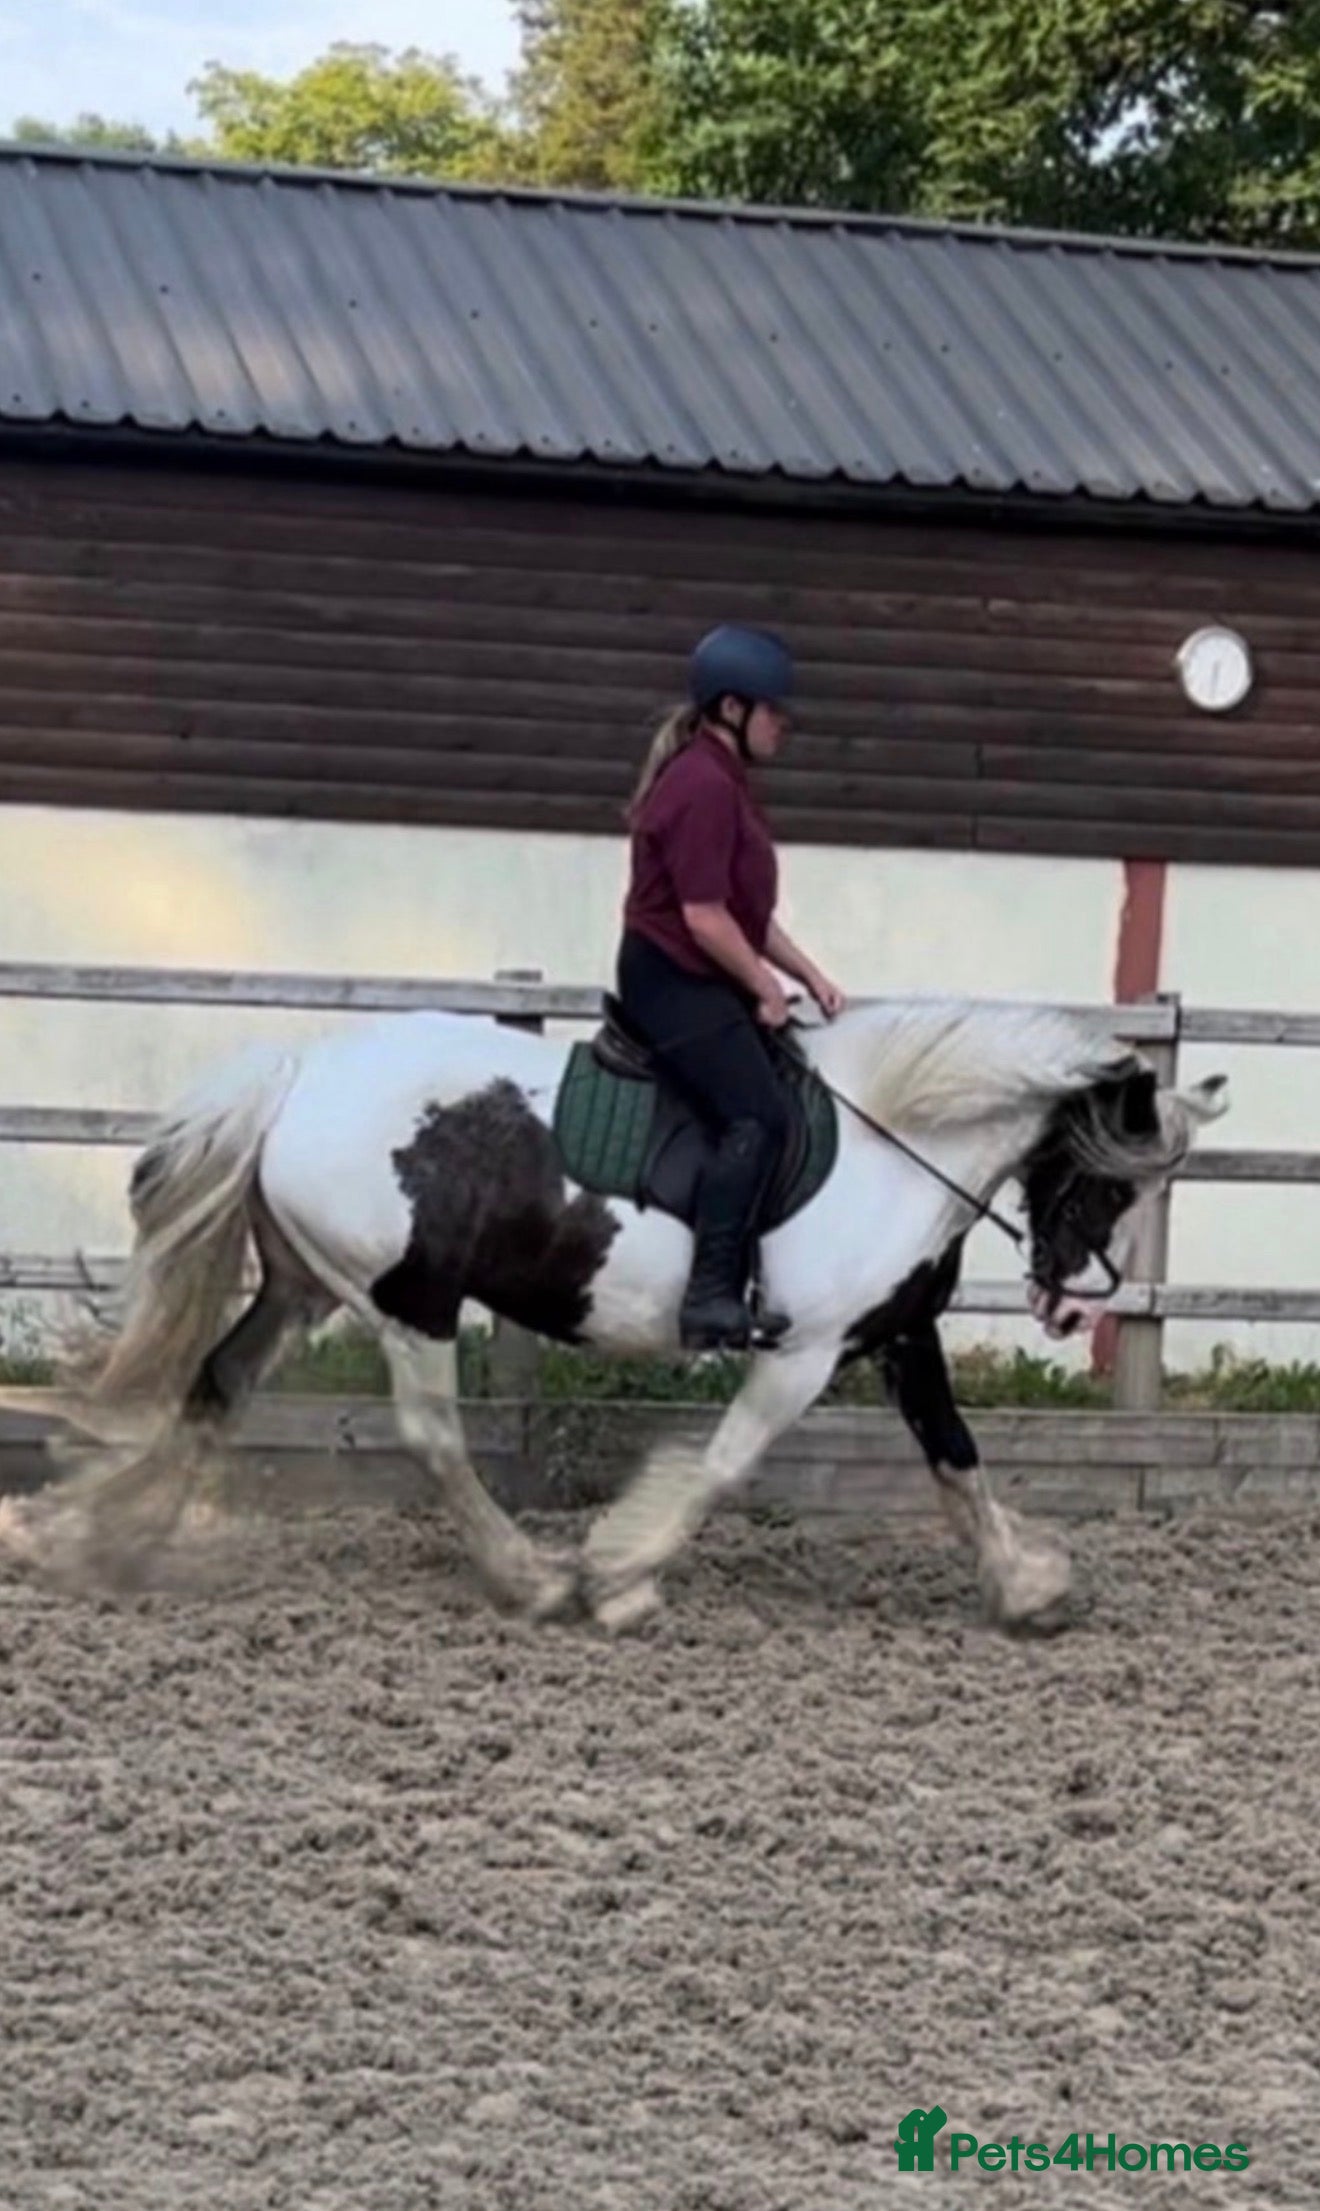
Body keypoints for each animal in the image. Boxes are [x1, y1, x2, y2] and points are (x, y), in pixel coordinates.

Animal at [16, 992, 1227, 1629]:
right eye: (1117, 1179)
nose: (1073, 1302)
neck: (899, 1141)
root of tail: (300, 1076)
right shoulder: (805, 1352)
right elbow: (729, 1462)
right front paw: (625, 1574)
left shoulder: (895, 1337)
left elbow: (957, 1457)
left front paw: (1028, 1586)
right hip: (410, 1301)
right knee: (431, 1437)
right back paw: (532, 1577)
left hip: (305, 1287)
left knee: (214, 1386)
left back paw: (101, 1540)